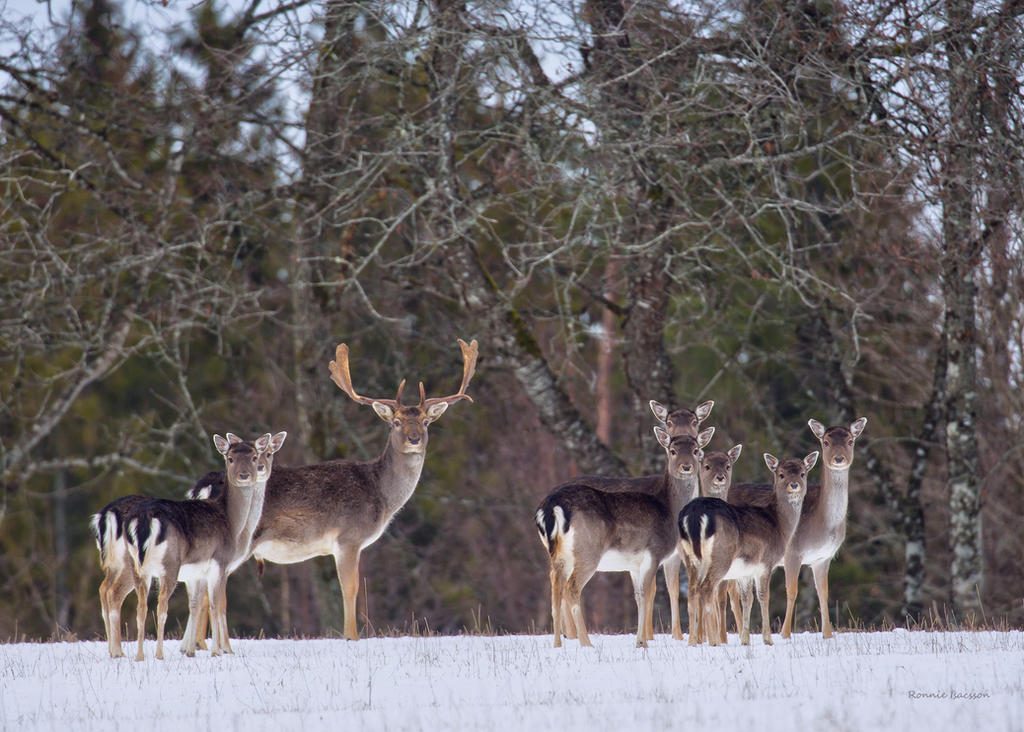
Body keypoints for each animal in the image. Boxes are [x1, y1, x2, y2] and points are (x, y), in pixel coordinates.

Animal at [536, 425, 712, 651]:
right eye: (672, 451)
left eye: (696, 450)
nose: (686, 466)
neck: (669, 510)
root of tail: (551, 507)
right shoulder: (653, 553)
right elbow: (646, 594)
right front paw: (642, 642)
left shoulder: (634, 563)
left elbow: (638, 597)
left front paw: (641, 640)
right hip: (587, 551)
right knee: (571, 588)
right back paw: (586, 642)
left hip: (560, 555)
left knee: (555, 586)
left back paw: (558, 643)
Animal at [675, 452, 819, 647]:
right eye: (781, 474)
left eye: (803, 473)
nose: (794, 484)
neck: (779, 524)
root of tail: (693, 514)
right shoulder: (766, 563)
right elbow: (763, 597)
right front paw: (768, 639)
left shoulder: (744, 571)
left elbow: (747, 599)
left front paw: (745, 639)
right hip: (721, 555)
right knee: (706, 589)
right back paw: (714, 641)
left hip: (689, 558)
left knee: (691, 592)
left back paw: (692, 641)